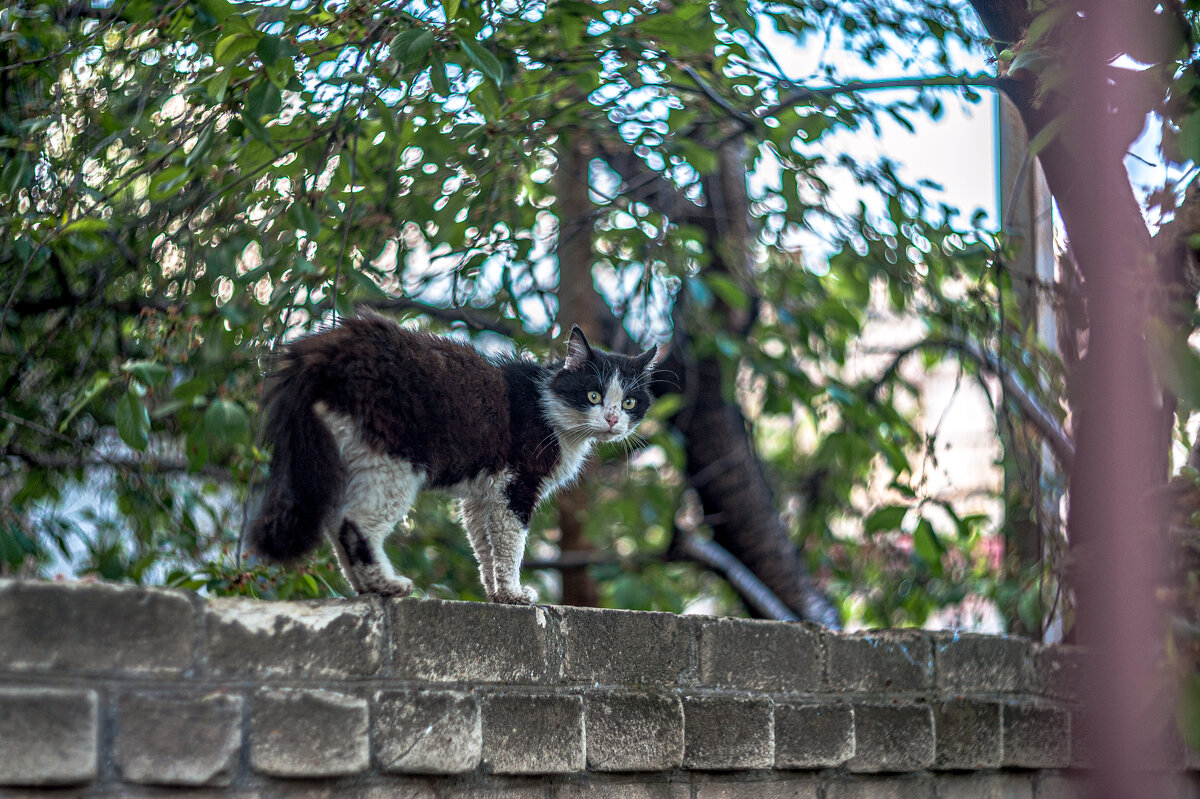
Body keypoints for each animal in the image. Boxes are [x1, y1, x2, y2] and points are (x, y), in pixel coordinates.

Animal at [246, 314, 657, 599]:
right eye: (593, 395)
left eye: (630, 402)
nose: (612, 419)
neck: (550, 408)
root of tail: (327, 346)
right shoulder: (517, 485)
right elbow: (510, 544)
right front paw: (515, 593)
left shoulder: (482, 495)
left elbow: (485, 545)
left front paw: (497, 594)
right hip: (393, 460)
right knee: (354, 523)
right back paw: (387, 585)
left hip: (346, 451)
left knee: (335, 521)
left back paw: (367, 588)